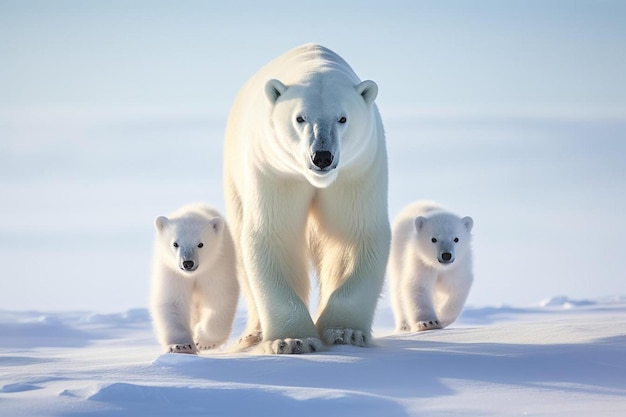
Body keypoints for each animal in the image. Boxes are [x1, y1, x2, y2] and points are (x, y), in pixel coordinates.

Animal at [150, 203, 238, 352]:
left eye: (200, 244)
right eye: (175, 243)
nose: (188, 263)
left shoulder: (216, 266)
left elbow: (219, 298)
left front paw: (203, 341)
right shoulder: (172, 272)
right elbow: (173, 301)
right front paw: (181, 346)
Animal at [224, 44, 388, 352]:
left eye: (342, 118)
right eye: (300, 117)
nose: (322, 157)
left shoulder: (356, 170)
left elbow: (353, 234)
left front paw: (346, 332)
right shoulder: (276, 171)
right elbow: (275, 235)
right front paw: (292, 340)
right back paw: (252, 335)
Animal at [388, 202, 470, 332]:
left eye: (456, 239)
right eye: (433, 239)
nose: (446, 255)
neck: (439, 267)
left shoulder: (458, 267)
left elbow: (456, 289)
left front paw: (442, 316)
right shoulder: (420, 261)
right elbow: (418, 286)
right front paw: (428, 323)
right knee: (397, 292)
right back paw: (404, 326)